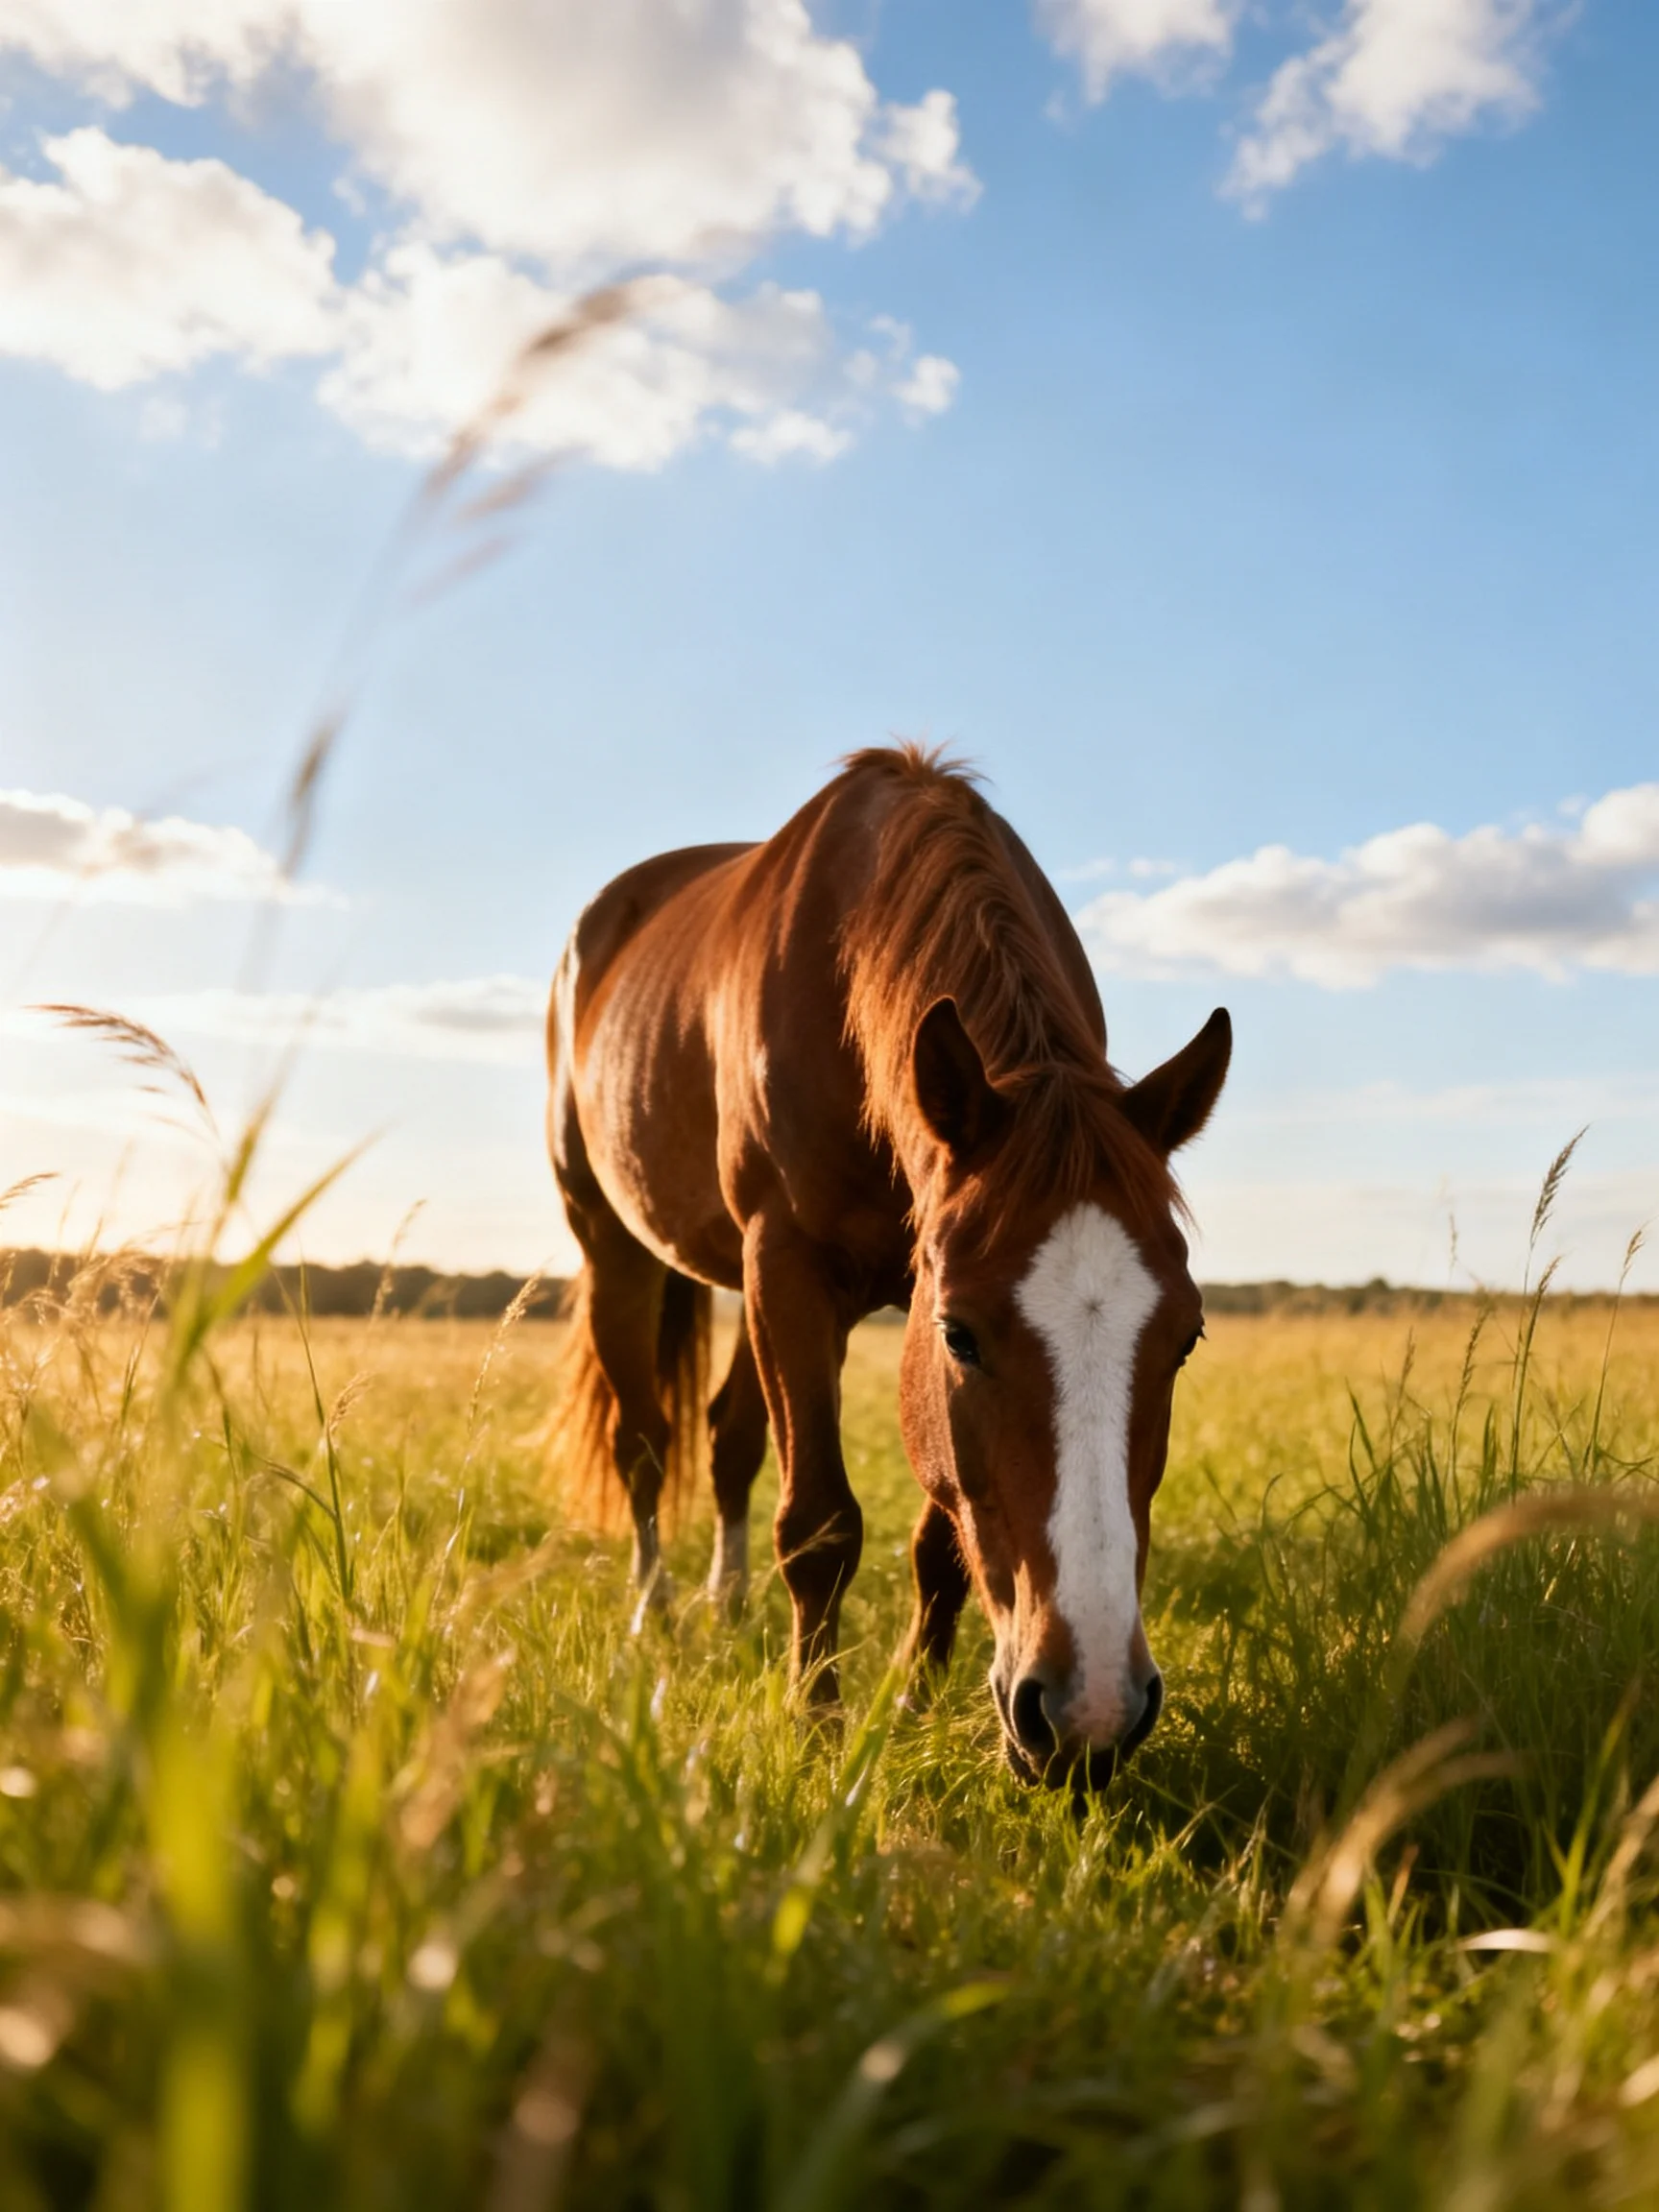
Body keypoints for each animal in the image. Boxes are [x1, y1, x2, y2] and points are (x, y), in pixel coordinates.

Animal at [546, 745, 1229, 1789]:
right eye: (962, 1335)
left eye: (1185, 1340)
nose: (1093, 1713)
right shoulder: (792, 1265)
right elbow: (820, 1523)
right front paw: (819, 1730)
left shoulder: (880, 1282)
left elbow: (937, 1539)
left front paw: (911, 1704)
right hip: (616, 1245)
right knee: (646, 1442)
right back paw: (654, 1614)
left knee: (728, 1438)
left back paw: (727, 1603)